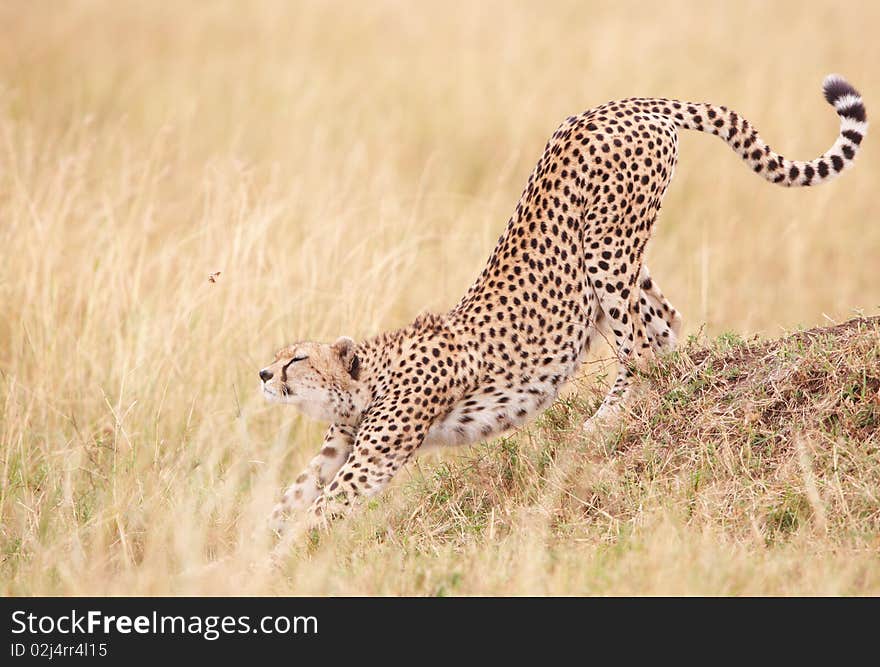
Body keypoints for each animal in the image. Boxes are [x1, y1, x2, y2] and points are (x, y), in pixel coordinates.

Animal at [262, 77, 868, 536]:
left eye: (297, 359)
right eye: (281, 355)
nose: (265, 374)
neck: (367, 378)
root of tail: (624, 103)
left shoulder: (372, 459)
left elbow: (321, 510)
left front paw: (276, 561)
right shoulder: (340, 445)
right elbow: (294, 495)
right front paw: (257, 539)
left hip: (607, 247)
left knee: (640, 351)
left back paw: (604, 422)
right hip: (618, 258)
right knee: (665, 327)